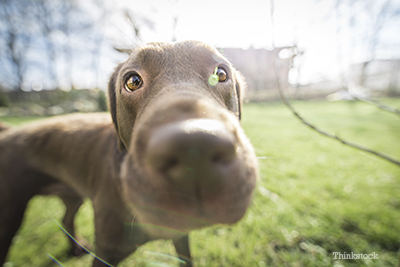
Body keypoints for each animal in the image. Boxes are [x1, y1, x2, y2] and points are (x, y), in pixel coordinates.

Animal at [0, 40, 258, 266]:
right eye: (132, 81)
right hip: (9, 214)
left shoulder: (181, 238)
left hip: (72, 193)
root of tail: (9, 132)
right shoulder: (107, 253)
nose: (195, 152)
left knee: (66, 218)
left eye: (220, 74)